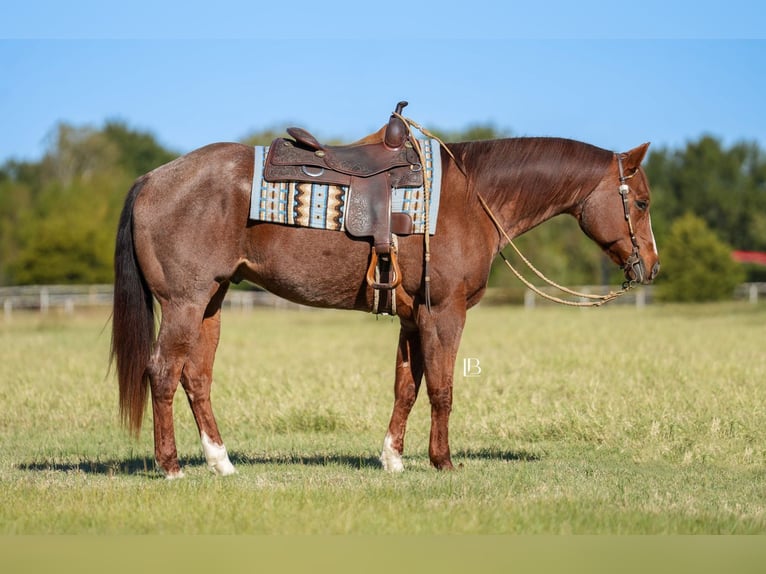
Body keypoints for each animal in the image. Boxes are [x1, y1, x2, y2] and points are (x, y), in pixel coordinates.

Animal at [111, 134, 660, 478]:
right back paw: (171, 467)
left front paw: (393, 459)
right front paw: (443, 461)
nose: (651, 267)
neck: (470, 196)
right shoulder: (444, 312)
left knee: (196, 377)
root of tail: (152, 178)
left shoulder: (414, 318)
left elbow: (406, 387)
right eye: (642, 203)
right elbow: (441, 388)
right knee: (163, 373)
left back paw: (221, 462)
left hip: (211, 302)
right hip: (184, 303)